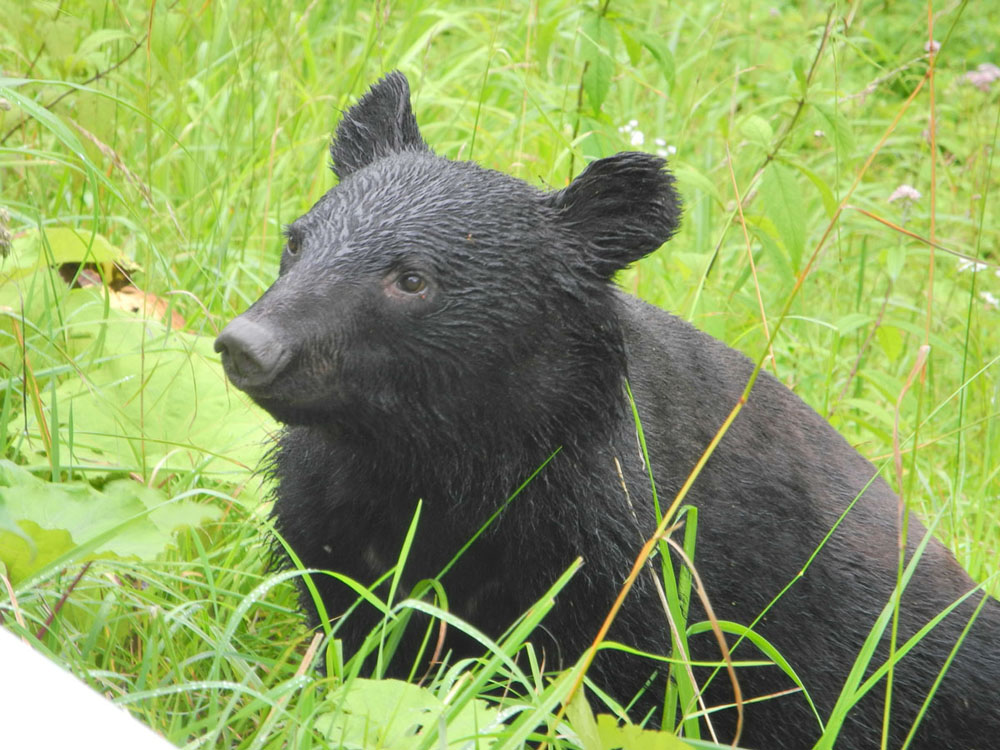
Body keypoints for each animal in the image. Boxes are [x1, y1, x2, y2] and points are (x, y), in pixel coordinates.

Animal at [217, 75, 1000, 750]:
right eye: (296, 239)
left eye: (412, 279)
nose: (247, 346)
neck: (437, 465)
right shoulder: (331, 520)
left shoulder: (623, 563)